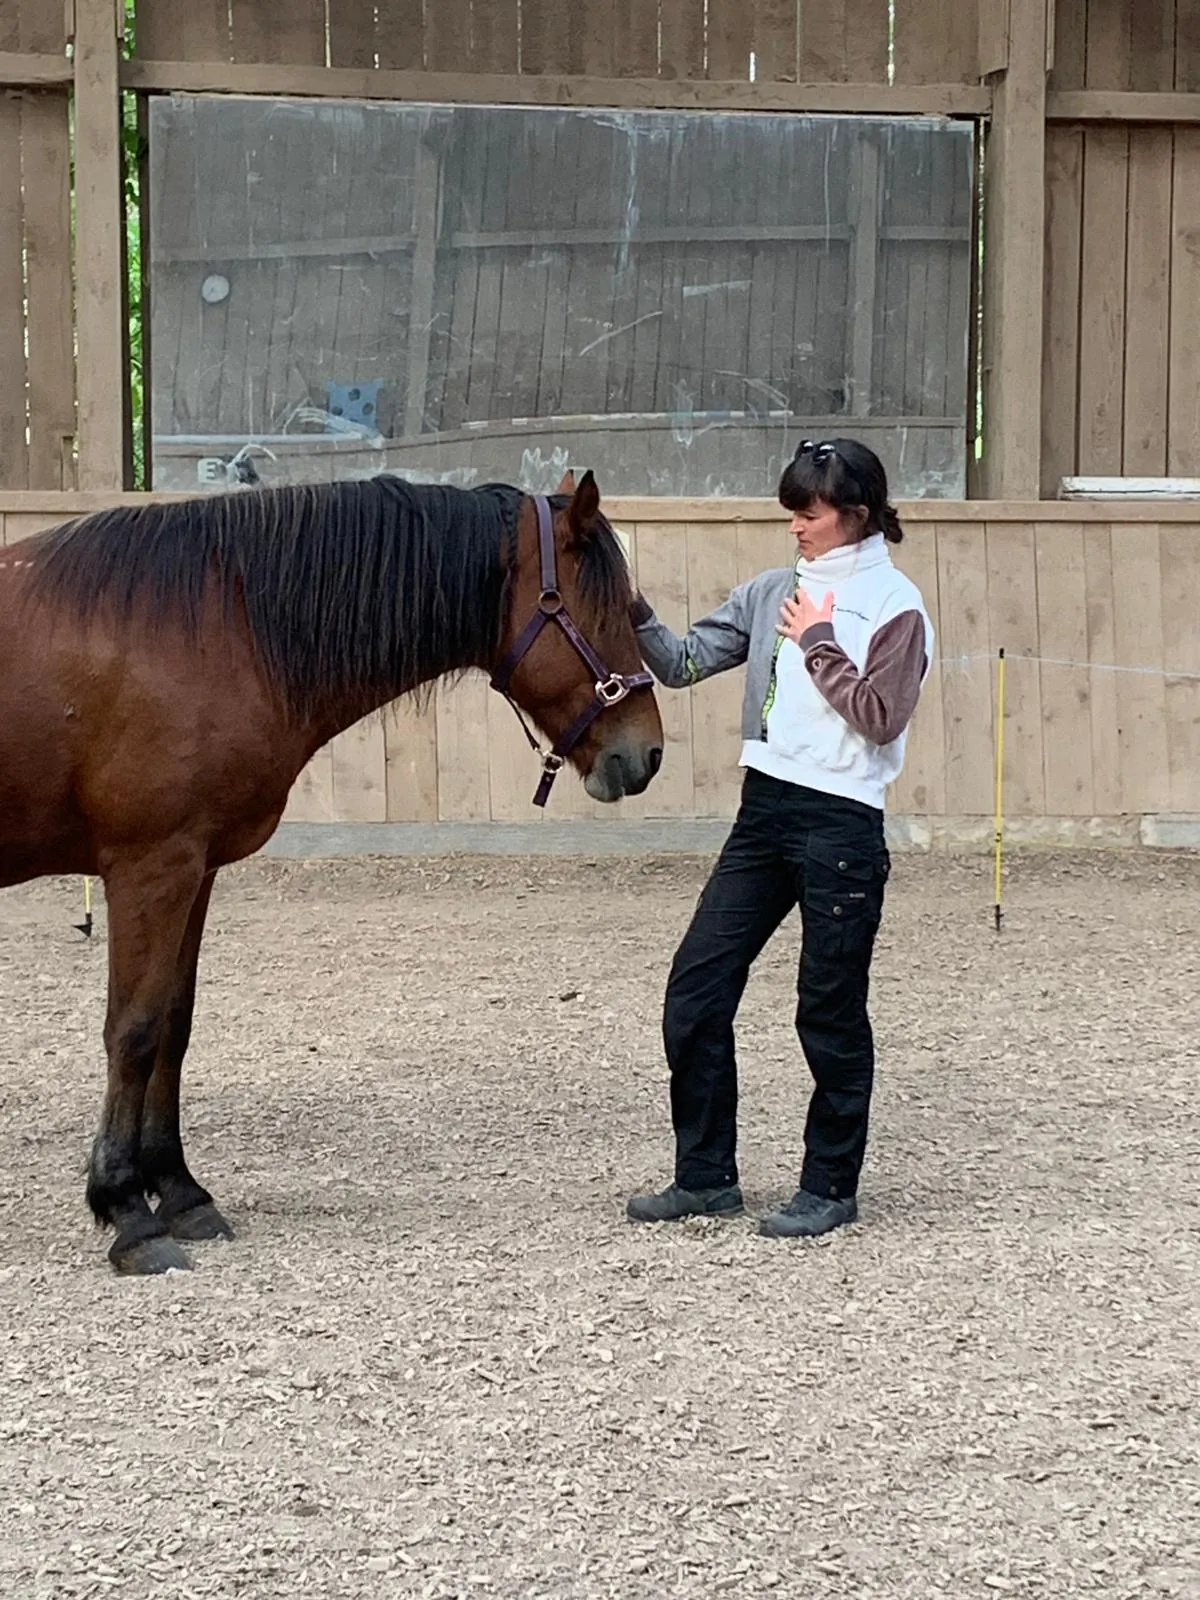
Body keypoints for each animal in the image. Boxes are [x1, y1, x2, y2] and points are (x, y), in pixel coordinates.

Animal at [0, 468, 664, 1275]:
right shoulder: (149, 867)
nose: (647, 753)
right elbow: (133, 1032)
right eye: (606, 610)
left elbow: (174, 1028)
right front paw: (127, 1209)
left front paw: (181, 1192)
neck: (211, 625)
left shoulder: (194, 870)